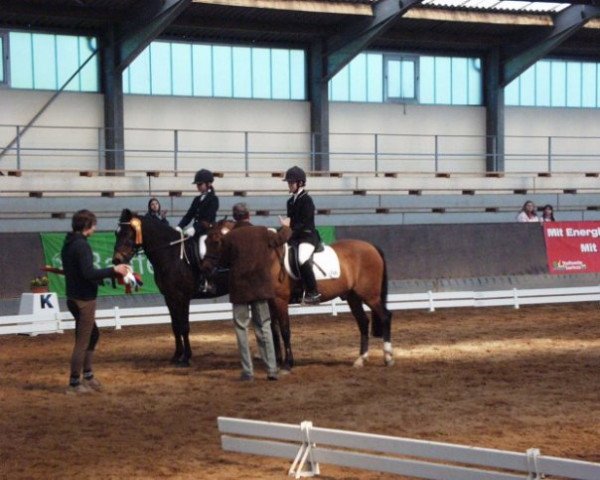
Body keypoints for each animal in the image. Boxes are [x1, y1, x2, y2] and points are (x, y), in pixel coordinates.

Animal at [111, 208, 226, 366]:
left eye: (128, 233)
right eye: (116, 233)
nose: (116, 260)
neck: (172, 255)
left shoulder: (182, 297)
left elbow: (184, 326)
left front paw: (186, 358)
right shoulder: (169, 297)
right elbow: (175, 326)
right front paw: (177, 356)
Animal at [204, 219, 396, 370]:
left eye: (217, 241)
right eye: (205, 241)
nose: (206, 270)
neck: (268, 259)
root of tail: (371, 247)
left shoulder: (280, 301)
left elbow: (285, 330)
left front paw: (288, 363)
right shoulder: (271, 302)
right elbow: (274, 330)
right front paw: (278, 360)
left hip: (369, 295)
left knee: (385, 316)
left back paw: (388, 357)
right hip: (353, 297)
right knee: (363, 322)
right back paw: (360, 360)